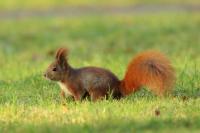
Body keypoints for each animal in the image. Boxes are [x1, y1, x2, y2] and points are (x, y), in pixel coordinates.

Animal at [44, 47, 175, 101]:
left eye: (54, 69)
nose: (44, 75)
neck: (65, 79)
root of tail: (118, 86)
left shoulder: (76, 86)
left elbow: (79, 95)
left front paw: (77, 104)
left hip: (97, 90)